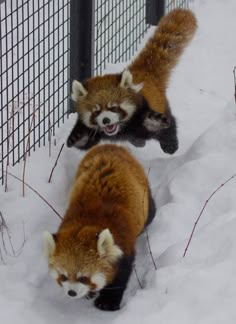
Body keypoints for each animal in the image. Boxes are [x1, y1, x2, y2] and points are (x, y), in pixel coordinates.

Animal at [43, 144, 156, 312]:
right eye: (63, 276)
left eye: (83, 277)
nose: (71, 293)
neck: (90, 223)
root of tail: (111, 146)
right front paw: (89, 294)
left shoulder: (124, 245)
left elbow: (120, 277)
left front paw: (107, 302)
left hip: (144, 197)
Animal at [67, 8, 197, 154]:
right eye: (96, 112)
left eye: (114, 107)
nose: (106, 120)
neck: (120, 130)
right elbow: (85, 143)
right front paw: (76, 137)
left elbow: (157, 124)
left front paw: (155, 123)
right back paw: (138, 142)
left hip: (160, 103)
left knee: (170, 122)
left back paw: (168, 143)